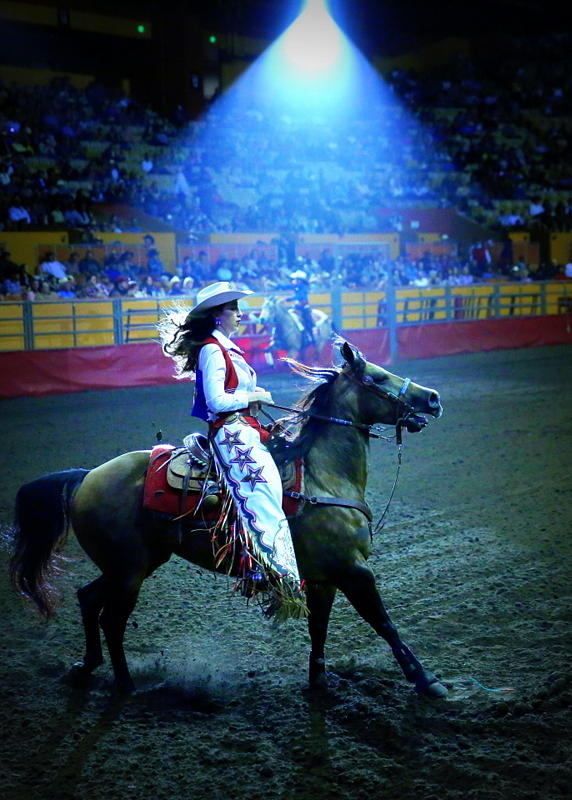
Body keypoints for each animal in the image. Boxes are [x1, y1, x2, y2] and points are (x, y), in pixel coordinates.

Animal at [7, 340, 446, 696]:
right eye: (378, 377)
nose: (433, 398)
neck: (324, 476)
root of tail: (86, 476)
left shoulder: (324, 577)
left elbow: (318, 627)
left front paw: (319, 681)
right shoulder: (353, 571)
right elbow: (384, 623)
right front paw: (425, 680)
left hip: (133, 564)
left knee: (88, 599)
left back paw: (86, 669)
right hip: (129, 571)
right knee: (112, 620)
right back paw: (126, 685)